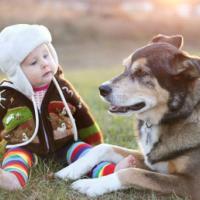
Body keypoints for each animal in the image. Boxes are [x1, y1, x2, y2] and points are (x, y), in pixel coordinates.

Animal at [55, 34, 200, 200]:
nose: (102, 89)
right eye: (125, 67)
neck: (179, 114)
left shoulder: (192, 184)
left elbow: (133, 173)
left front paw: (92, 184)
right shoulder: (148, 159)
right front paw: (70, 170)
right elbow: (104, 147)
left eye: (142, 73)